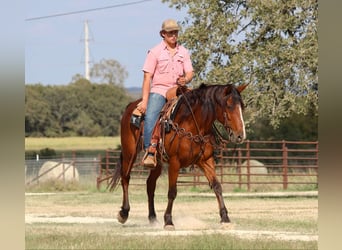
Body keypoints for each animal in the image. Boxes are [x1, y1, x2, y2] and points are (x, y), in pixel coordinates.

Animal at [109, 83, 246, 229]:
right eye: (229, 105)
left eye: (242, 106)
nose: (240, 135)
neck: (193, 124)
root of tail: (131, 106)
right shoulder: (175, 162)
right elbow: (172, 192)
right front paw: (168, 221)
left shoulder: (206, 161)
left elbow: (217, 186)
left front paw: (225, 218)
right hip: (129, 153)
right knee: (125, 178)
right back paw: (124, 213)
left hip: (157, 162)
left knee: (150, 184)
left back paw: (152, 217)